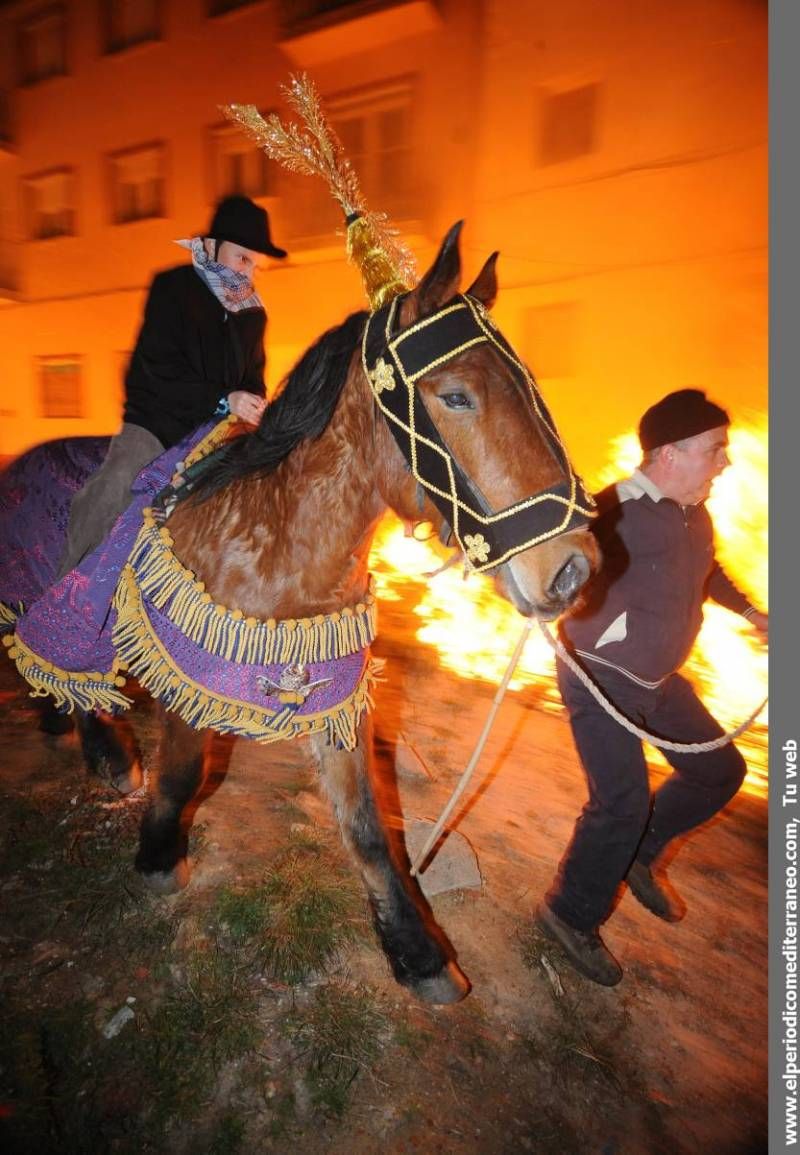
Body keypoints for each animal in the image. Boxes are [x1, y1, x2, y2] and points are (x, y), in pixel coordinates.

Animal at [1, 225, 600, 1002]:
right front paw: (160, 857)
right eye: (457, 396)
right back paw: (106, 753)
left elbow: (369, 827)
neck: (274, 537)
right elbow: (181, 776)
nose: (574, 568)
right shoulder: (189, 683)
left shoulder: (333, 697)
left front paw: (418, 953)